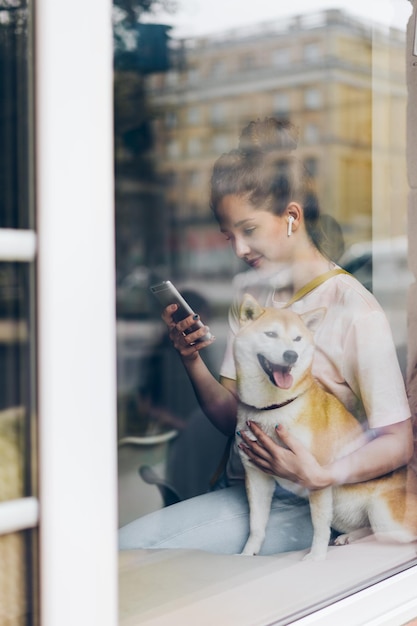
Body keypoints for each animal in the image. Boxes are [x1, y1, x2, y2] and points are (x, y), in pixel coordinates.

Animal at [234, 292, 416, 560]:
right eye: (271, 334)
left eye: (297, 339)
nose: (291, 355)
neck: (274, 407)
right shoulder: (256, 477)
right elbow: (256, 526)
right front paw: (247, 554)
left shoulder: (315, 476)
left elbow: (319, 526)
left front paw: (317, 557)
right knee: (368, 530)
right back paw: (351, 536)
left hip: (383, 513)